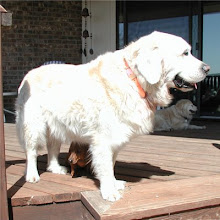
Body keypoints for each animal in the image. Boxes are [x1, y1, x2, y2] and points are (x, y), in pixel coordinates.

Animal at [15, 31, 210, 201]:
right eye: (185, 53)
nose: (207, 68)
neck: (134, 79)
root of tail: (28, 74)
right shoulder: (103, 139)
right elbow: (106, 166)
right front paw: (109, 191)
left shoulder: (116, 135)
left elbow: (112, 163)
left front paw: (114, 184)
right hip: (33, 126)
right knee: (31, 151)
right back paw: (32, 175)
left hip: (56, 125)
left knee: (52, 147)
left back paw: (55, 168)